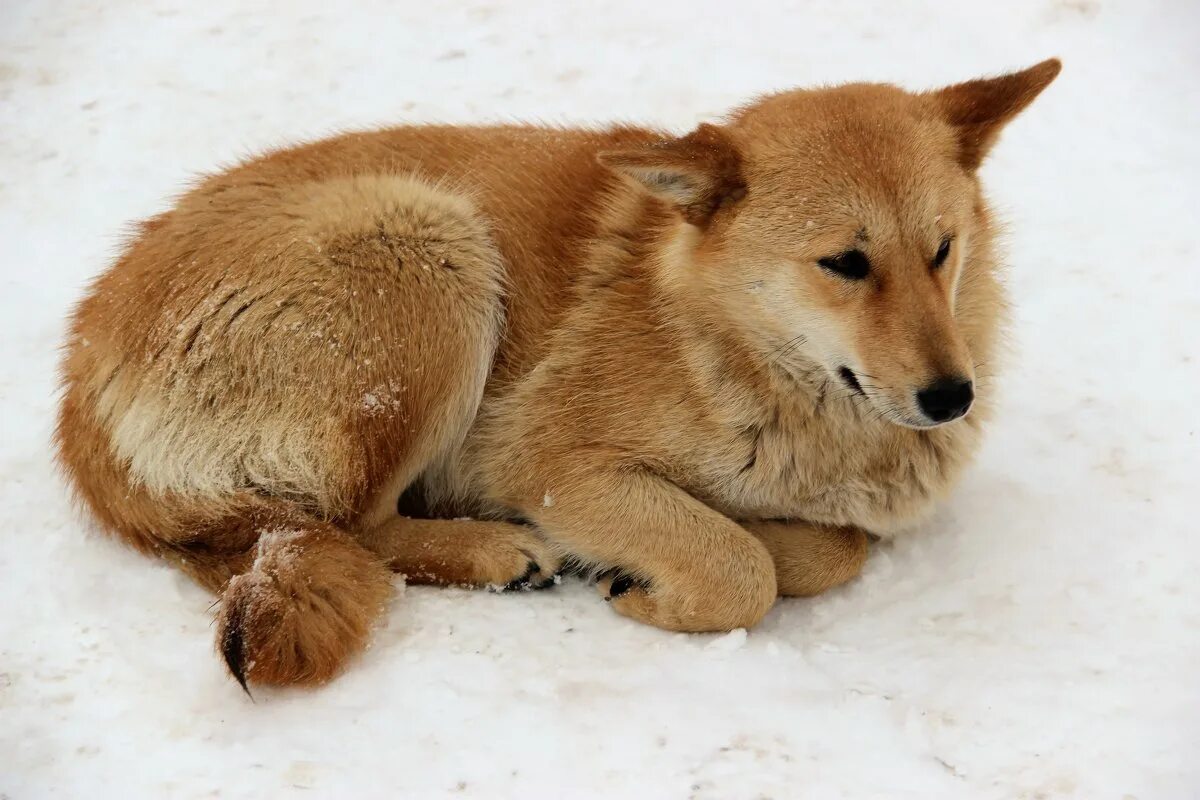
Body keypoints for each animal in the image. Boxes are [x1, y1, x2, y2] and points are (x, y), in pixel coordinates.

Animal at [54, 59, 1060, 690]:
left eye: (942, 250)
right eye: (846, 264)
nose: (952, 396)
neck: (728, 345)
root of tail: (80, 372)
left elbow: (836, 546)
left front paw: (739, 544)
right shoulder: (546, 464)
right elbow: (740, 571)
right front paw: (673, 574)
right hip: (432, 245)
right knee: (352, 524)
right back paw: (494, 552)